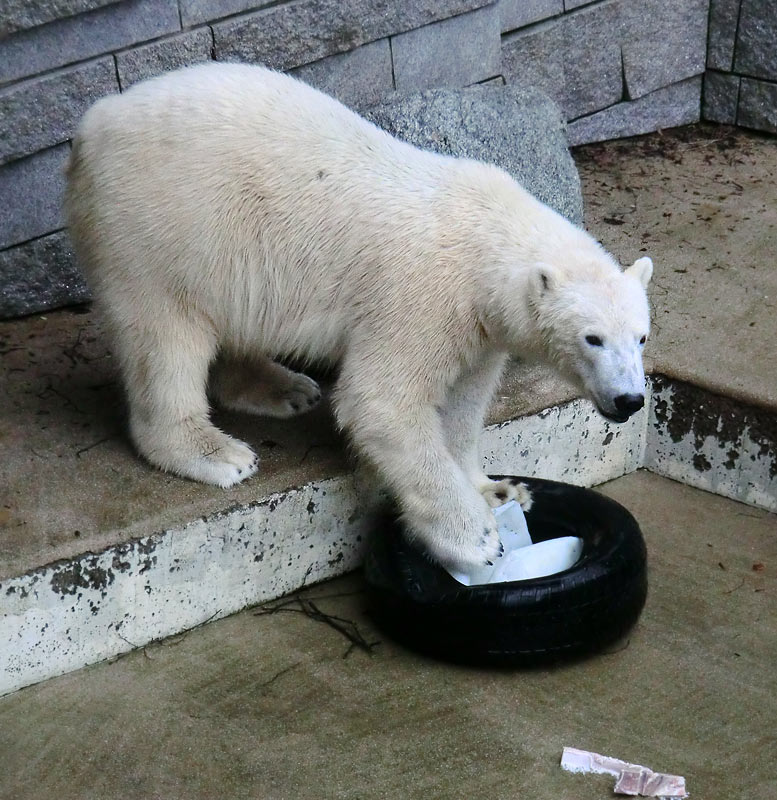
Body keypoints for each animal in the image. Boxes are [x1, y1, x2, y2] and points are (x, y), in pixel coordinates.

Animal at [63, 62, 652, 576]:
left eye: (641, 337)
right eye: (593, 338)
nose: (630, 400)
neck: (486, 236)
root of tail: (93, 124)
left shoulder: (482, 329)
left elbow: (463, 403)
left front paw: (498, 489)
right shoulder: (423, 295)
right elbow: (382, 402)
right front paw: (477, 538)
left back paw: (285, 388)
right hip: (160, 228)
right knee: (167, 337)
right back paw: (215, 452)